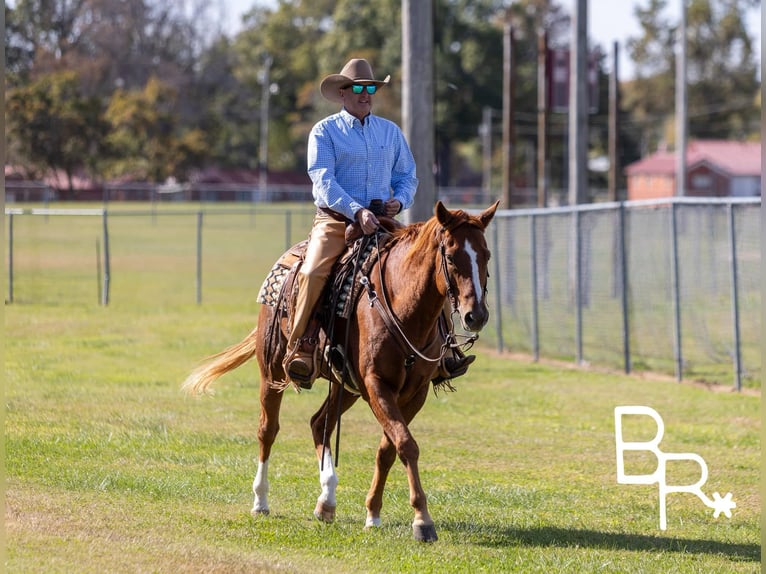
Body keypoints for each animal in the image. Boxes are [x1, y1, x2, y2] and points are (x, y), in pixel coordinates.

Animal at [182, 200, 499, 542]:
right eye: (451, 256)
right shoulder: (376, 384)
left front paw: (373, 513)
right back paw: (261, 501)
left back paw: (327, 501)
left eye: (486, 254)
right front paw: (422, 520)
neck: (403, 307)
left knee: (318, 422)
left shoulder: (414, 392)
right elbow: (405, 444)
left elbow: (388, 448)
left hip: (345, 387)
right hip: (272, 373)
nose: (476, 315)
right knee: (267, 430)